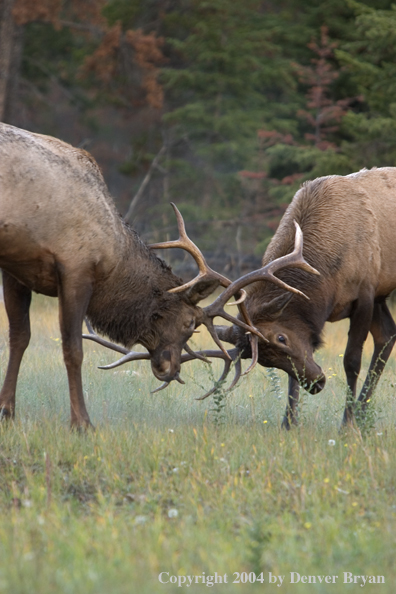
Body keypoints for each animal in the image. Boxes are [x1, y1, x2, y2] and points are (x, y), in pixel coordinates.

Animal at [0, 122, 316, 426]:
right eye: (190, 323)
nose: (170, 369)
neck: (114, 257)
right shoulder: (75, 268)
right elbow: (73, 349)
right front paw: (82, 422)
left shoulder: (16, 270)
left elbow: (19, 338)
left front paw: (7, 412)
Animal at [217, 166, 396, 426]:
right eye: (264, 360)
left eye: (281, 338)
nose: (316, 383)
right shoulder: (374, 294)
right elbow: (293, 376)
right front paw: (289, 423)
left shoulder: (365, 293)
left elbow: (351, 361)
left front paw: (347, 424)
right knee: (388, 334)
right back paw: (364, 416)